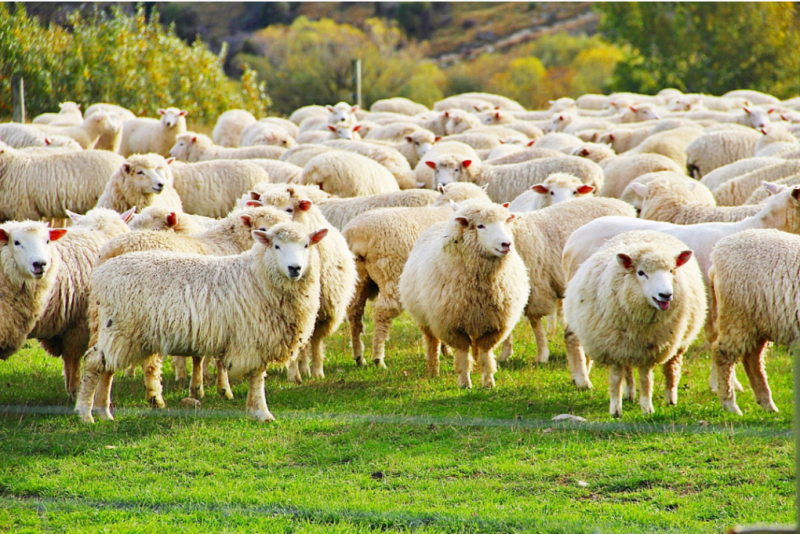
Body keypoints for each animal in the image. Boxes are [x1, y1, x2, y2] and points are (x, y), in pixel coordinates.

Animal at [75, 221, 327, 423]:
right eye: (276, 246)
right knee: (94, 363)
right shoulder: (253, 338)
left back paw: (102, 412)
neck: (259, 276)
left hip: (120, 332)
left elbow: (255, 378)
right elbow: (257, 378)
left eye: (306, 245)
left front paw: (253, 409)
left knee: (107, 368)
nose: (295, 268)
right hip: (119, 327)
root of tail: (102, 273)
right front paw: (262, 413)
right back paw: (85, 414)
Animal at [343, 182, 491, 367]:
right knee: (383, 312)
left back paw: (359, 357)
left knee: (354, 311)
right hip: (391, 274)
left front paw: (445, 350)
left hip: (359, 277)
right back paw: (378, 358)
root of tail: (356, 233)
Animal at [400, 202, 529, 388]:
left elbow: (485, 353)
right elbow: (462, 354)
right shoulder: (452, 325)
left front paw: (488, 382)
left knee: (475, 347)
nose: (507, 244)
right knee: (432, 343)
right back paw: (433, 371)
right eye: (480, 226)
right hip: (426, 319)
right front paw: (464, 383)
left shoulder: (494, 325)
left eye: (505, 222)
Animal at [563, 231, 706, 416]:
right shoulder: (613, 347)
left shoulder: (651, 348)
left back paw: (670, 399)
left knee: (672, 368)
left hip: (678, 341)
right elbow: (616, 377)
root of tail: (644, 231)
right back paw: (629, 394)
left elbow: (646, 379)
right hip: (626, 344)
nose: (666, 295)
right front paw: (615, 410)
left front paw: (647, 408)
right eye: (641, 273)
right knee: (628, 369)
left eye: (671, 270)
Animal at [710, 228, 800, 414]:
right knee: (723, 353)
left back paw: (767, 405)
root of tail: (716, 252)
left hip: (758, 323)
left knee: (752, 359)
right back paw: (730, 405)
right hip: (737, 316)